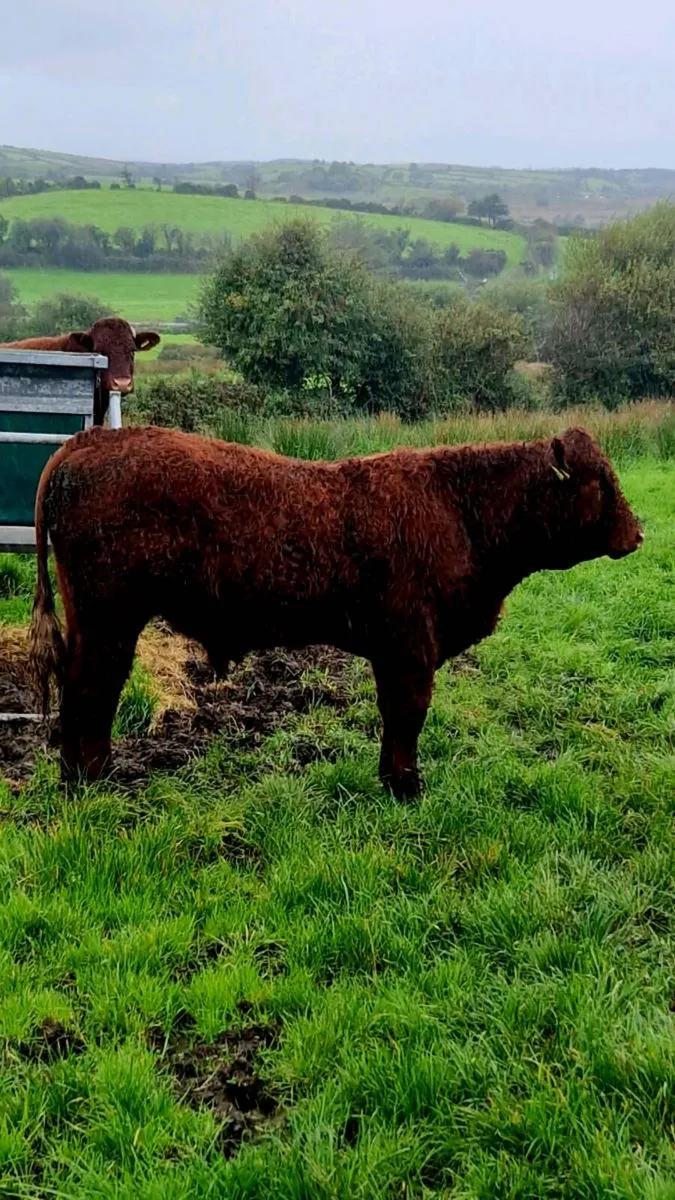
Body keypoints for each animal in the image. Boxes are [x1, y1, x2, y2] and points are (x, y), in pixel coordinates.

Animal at [29, 424, 643, 798]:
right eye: (601, 480)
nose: (637, 533)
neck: (461, 508)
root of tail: (86, 442)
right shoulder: (409, 648)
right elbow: (407, 715)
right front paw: (405, 786)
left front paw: (392, 779)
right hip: (109, 621)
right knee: (92, 692)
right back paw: (94, 781)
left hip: (96, 622)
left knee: (81, 693)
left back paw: (80, 777)